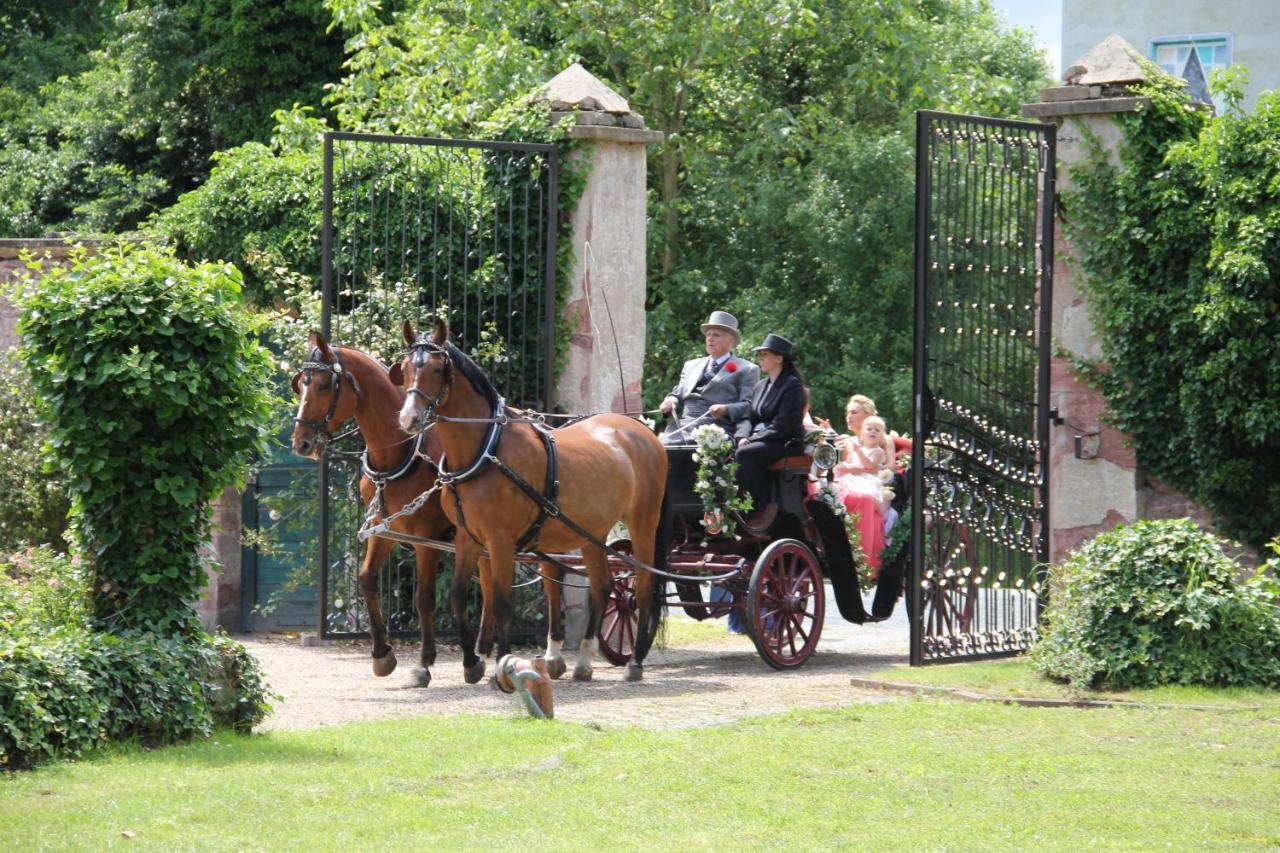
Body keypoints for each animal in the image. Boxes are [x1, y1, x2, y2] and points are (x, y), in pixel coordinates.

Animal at [290, 330, 455, 686]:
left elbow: (424, 598)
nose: (301, 443)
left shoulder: (428, 537)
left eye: (323, 385)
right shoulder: (385, 528)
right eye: (301, 383)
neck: (401, 453)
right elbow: (366, 580)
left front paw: (423, 663)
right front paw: (381, 653)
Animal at [394, 315, 665, 681]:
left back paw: (635, 661)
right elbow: (457, 596)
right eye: (406, 367)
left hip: (643, 525)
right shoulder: (467, 537)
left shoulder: (501, 541)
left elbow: (502, 601)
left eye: (436, 368)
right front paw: (472, 662)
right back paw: (583, 661)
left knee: (645, 585)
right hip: (591, 532)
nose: (408, 419)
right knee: (602, 585)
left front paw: (502, 665)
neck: (487, 449)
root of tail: (642, 431)